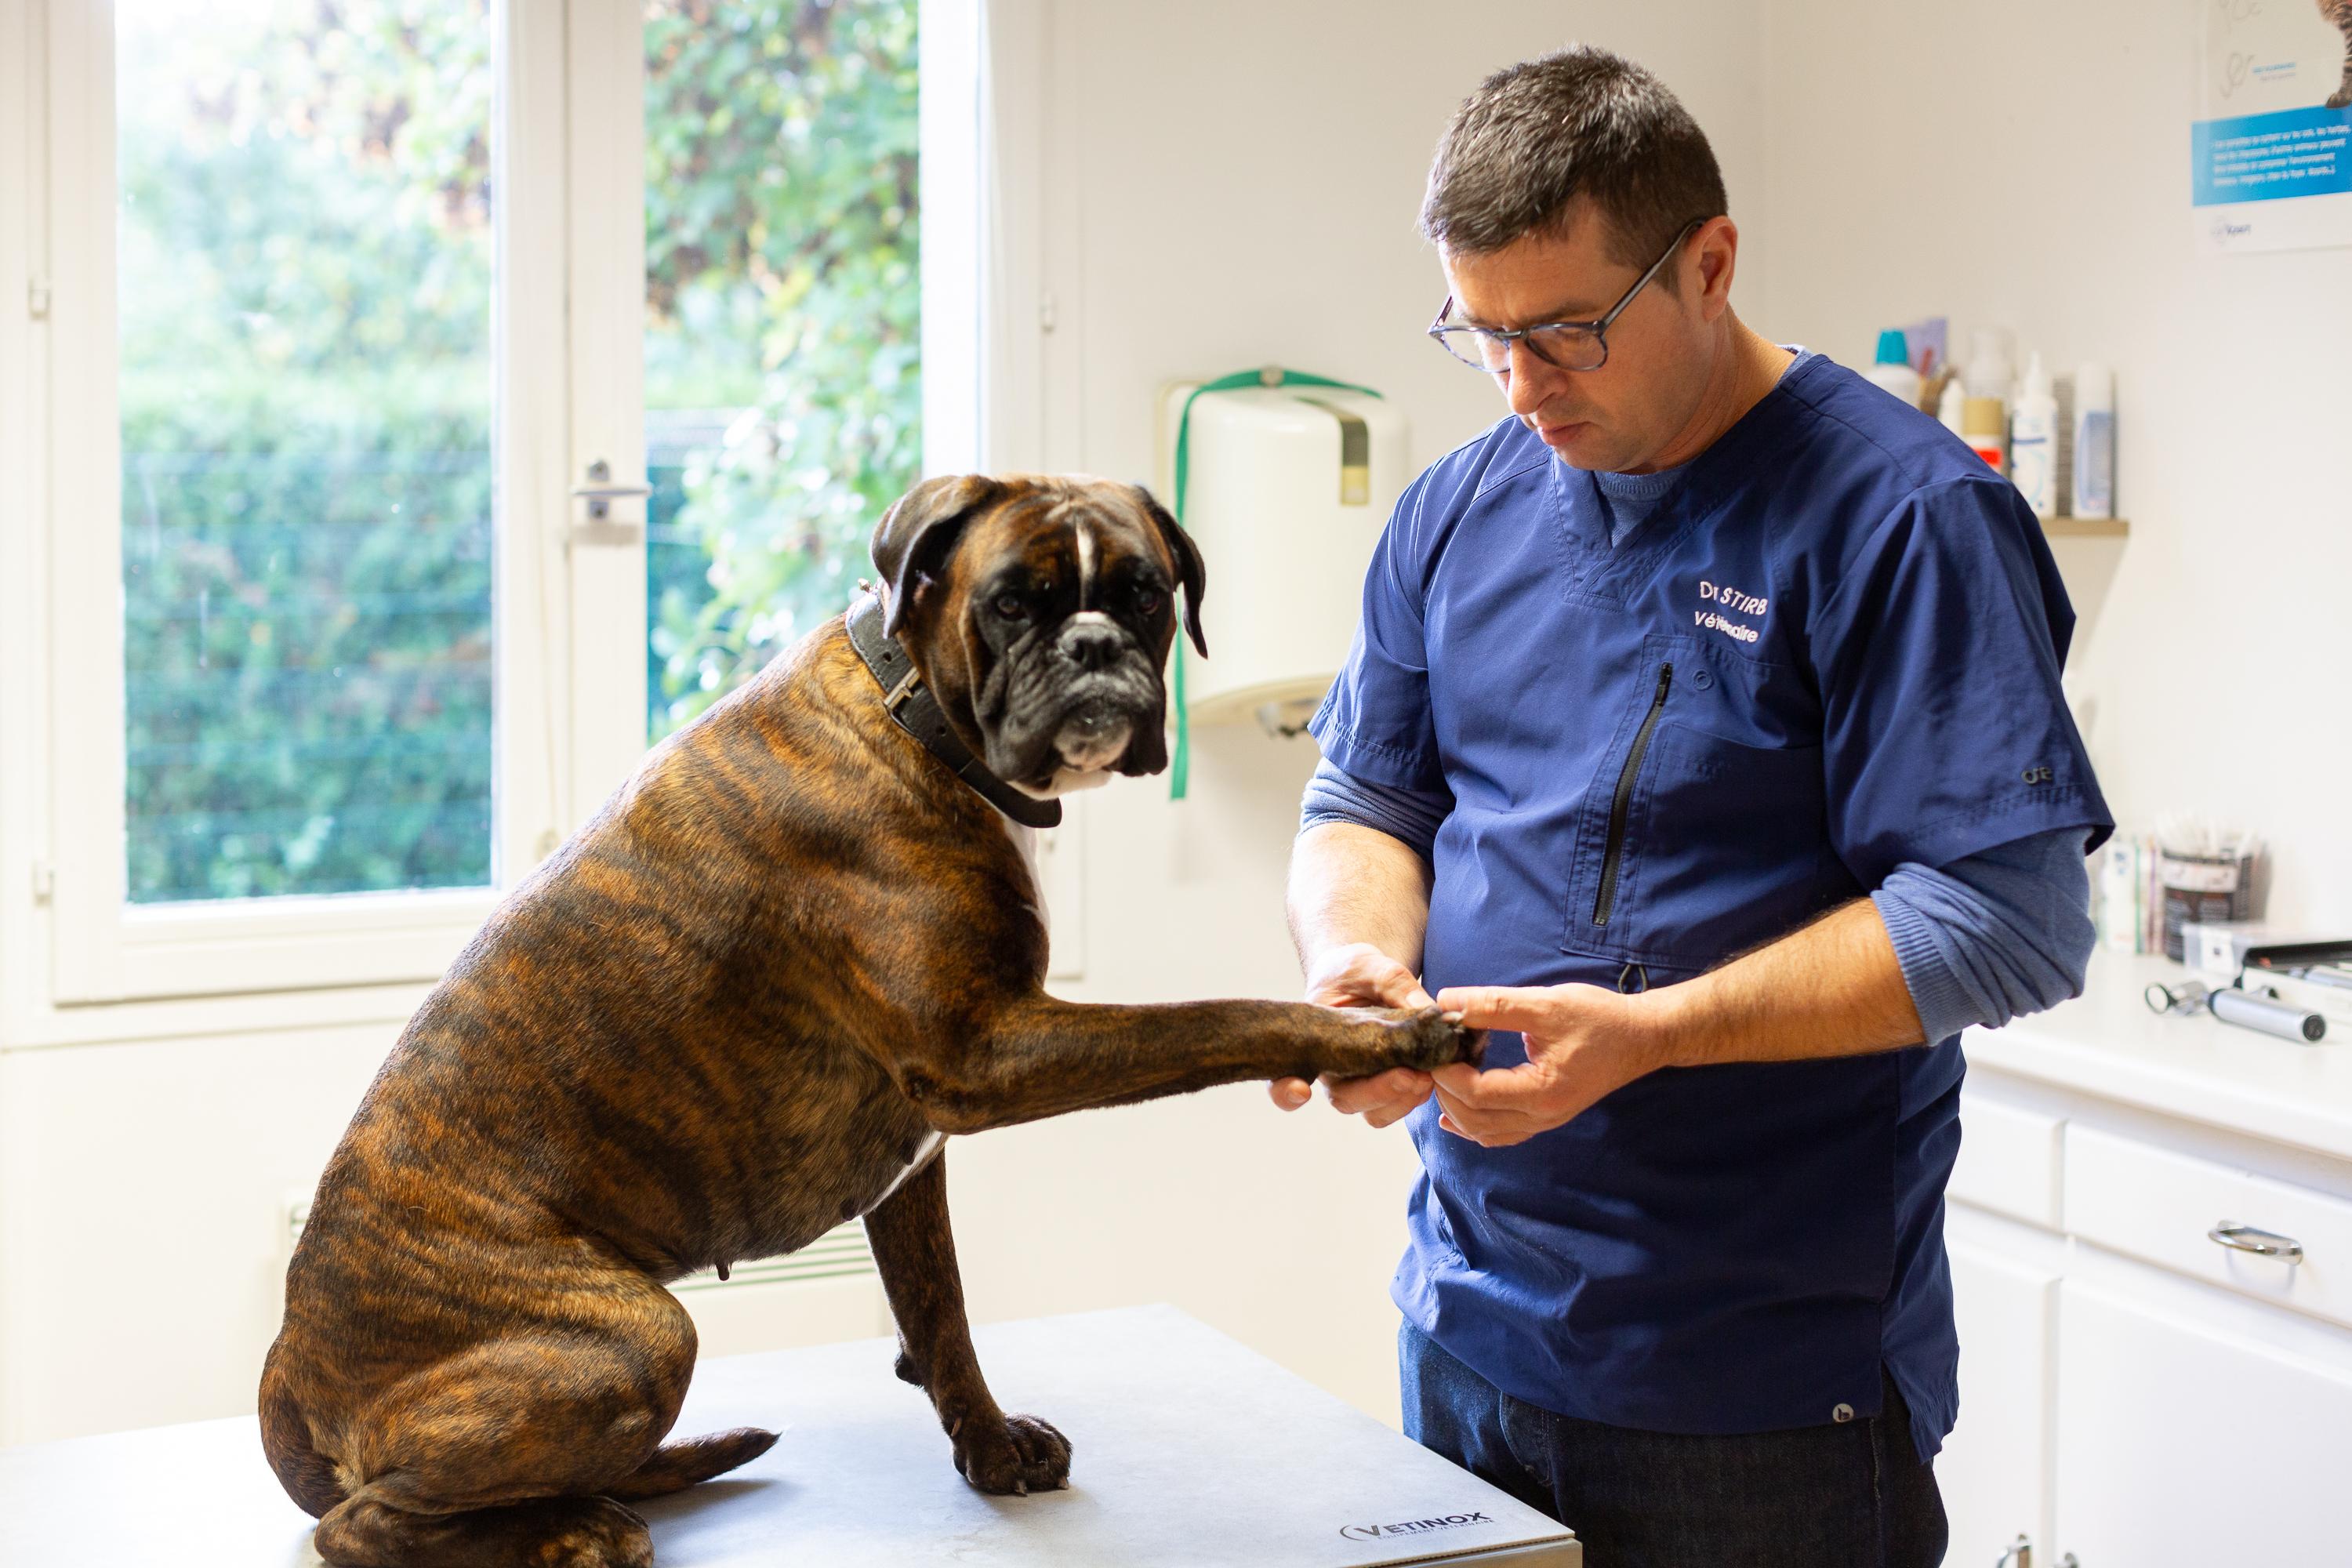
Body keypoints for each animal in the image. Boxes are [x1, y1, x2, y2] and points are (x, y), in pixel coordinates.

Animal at [267, 472, 1477, 1561]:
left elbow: (941, 1314)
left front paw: (988, 1450)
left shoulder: (917, 1155)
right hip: (635, 1335)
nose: (1094, 646)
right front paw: (1385, 1035)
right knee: (360, 1524)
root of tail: (286, 1362)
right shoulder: (993, 1053)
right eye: (1012, 601)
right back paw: (568, 1528)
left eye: (1145, 594)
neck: (918, 721)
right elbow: (1217, 1018)